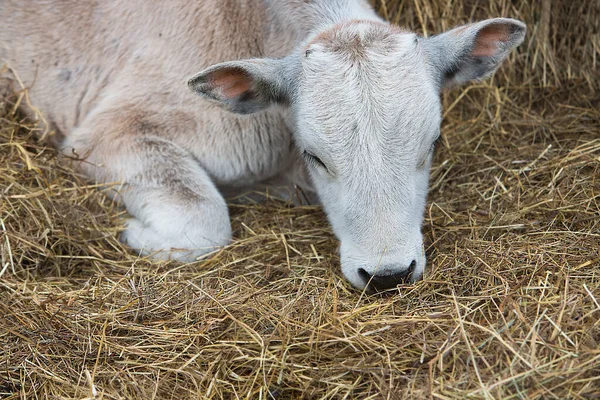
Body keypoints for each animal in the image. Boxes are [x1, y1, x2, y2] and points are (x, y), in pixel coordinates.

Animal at [0, 1, 524, 292]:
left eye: (432, 142)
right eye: (315, 156)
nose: (388, 274)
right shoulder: (103, 133)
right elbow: (204, 219)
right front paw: (137, 234)